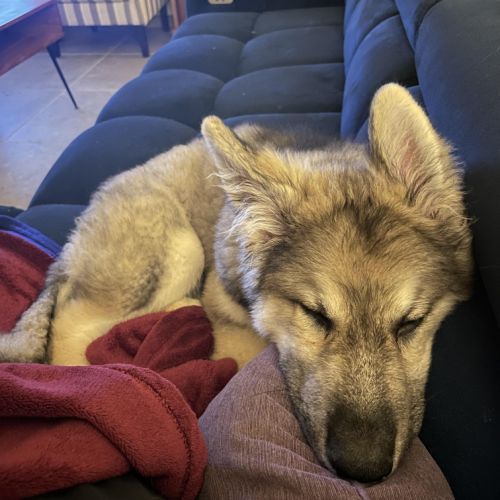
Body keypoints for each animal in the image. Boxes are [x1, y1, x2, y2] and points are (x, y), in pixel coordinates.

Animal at [0, 84, 473, 483]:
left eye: (411, 322)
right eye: (315, 315)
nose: (363, 469)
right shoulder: (225, 305)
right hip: (179, 247)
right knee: (72, 322)